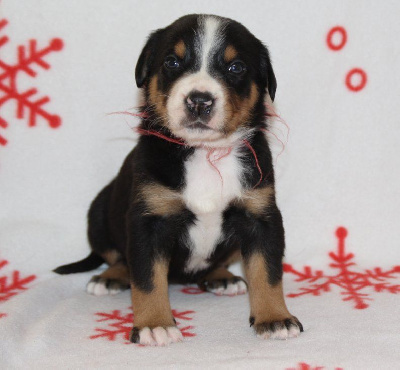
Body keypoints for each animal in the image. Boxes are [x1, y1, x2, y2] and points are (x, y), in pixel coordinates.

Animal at [54, 13, 304, 346]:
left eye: (235, 67)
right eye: (172, 62)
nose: (199, 100)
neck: (205, 154)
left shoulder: (260, 215)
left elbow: (268, 272)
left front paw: (275, 318)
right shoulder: (148, 221)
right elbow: (147, 280)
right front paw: (154, 324)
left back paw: (222, 277)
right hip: (99, 212)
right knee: (116, 256)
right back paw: (110, 278)